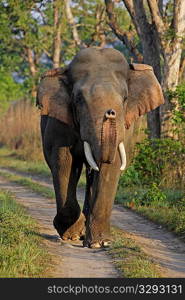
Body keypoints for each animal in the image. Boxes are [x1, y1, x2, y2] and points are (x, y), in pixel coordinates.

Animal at [36, 47, 164, 248]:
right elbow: (64, 162)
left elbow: (112, 164)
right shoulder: (60, 123)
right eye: (78, 99)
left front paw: (100, 243)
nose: (110, 113)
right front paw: (72, 235)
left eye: (125, 98)